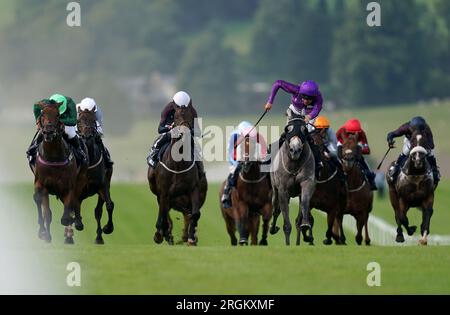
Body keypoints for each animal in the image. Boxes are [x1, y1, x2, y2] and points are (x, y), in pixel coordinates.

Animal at [31, 100, 87, 244]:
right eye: (42, 114)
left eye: (57, 115)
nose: (48, 132)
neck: (53, 157)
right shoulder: (43, 185)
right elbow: (47, 213)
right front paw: (46, 235)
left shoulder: (68, 187)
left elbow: (66, 216)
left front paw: (71, 223)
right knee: (38, 201)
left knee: (75, 202)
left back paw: (77, 223)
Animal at [76, 110, 114, 246]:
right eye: (78, 121)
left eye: (93, 120)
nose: (87, 136)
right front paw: (78, 223)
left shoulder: (102, 186)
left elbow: (108, 206)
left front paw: (107, 229)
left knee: (98, 210)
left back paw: (99, 236)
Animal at [148, 103, 207, 247]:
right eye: (175, 116)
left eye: (191, 116)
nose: (183, 133)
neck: (178, 163)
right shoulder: (163, 191)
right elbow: (163, 213)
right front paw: (160, 235)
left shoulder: (193, 189)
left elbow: (195, 214)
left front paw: (191, 238)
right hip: (159, 193)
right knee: (164, 211)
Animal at [268, 114, 314, 247]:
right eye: (288, 129)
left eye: (304, 130)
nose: (295, 149)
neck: (294, 164)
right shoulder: (283, 190)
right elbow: (285, 221)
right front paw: (287, 244)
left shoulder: (306, 183)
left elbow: (305, 202)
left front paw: (305, 225)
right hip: (275, 190)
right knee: (275, 209)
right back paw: (272, 228)